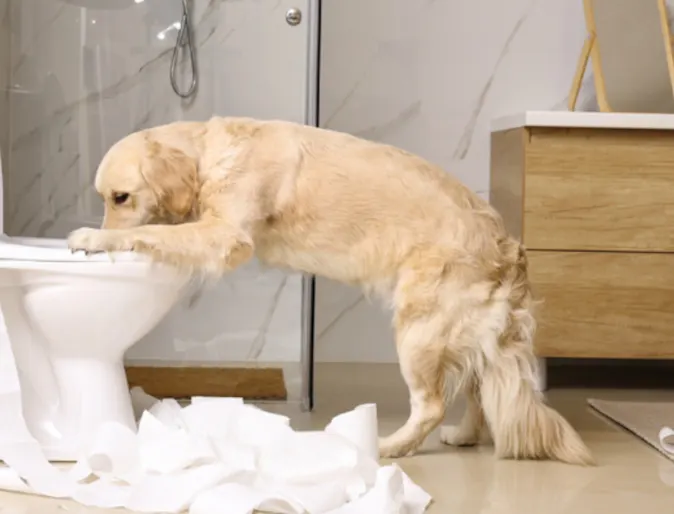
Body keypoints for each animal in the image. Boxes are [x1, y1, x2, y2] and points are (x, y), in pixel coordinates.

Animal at [68, 116, 592, 464]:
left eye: (121, 197)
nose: (104, 223)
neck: (213, 153)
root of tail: (508, 245)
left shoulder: (226, 235)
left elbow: (157, 233)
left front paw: (95, 238)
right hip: (465, 335)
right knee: (480, 390)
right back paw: (463, 436)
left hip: (419, 332)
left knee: (432, 404)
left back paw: (388, 446)